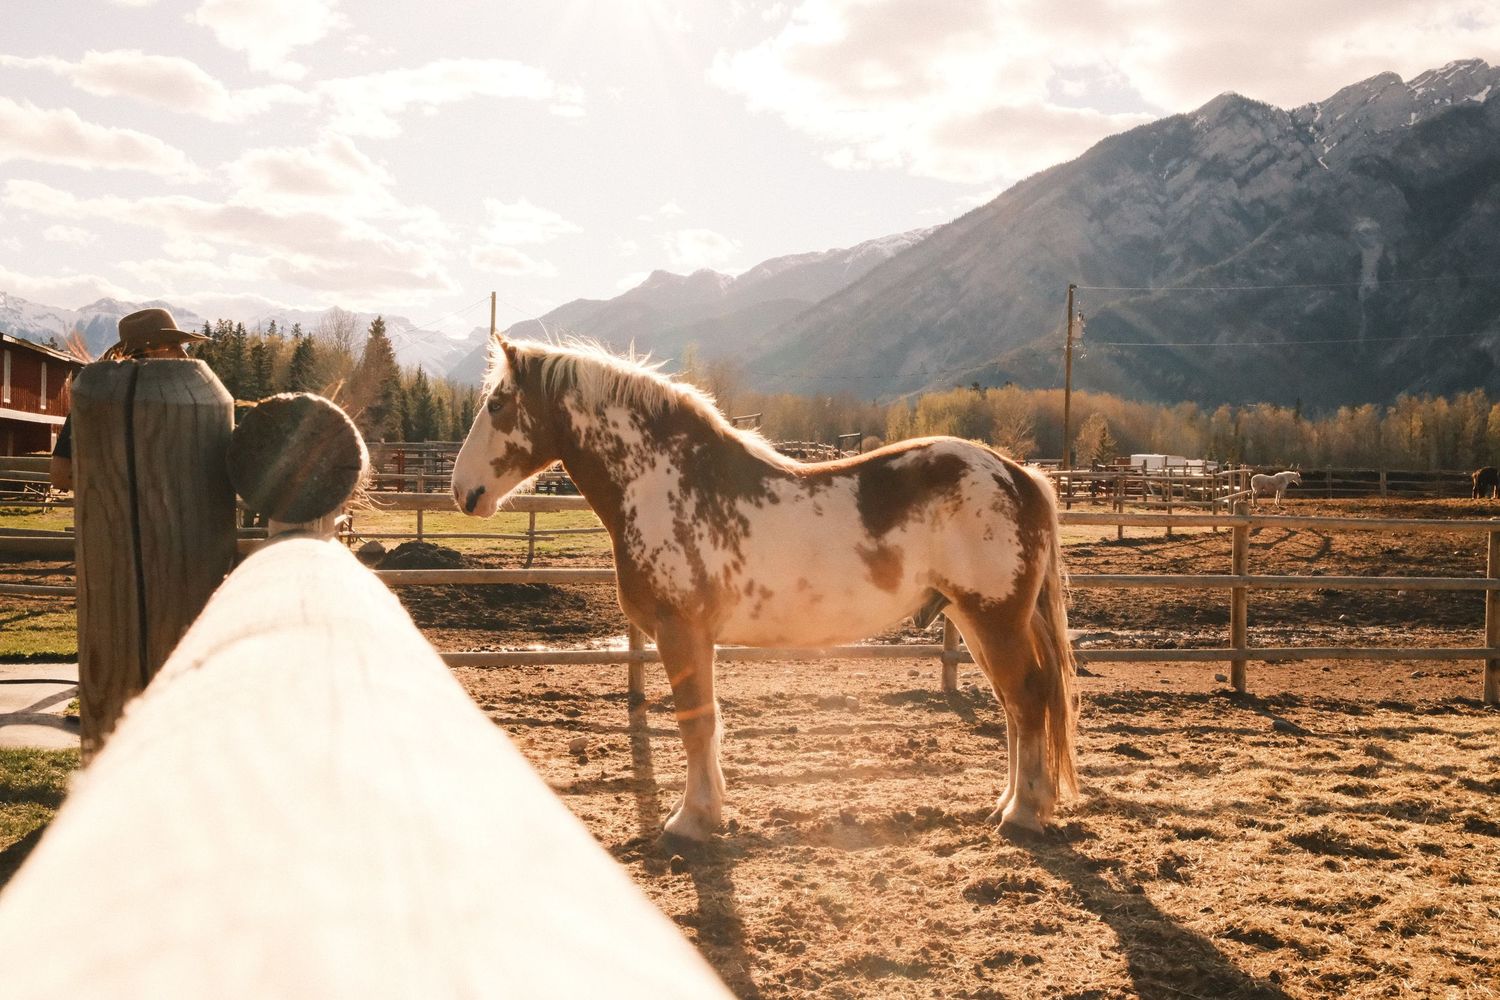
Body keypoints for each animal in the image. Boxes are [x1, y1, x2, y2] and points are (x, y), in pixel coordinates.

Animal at [452, 337, 1078, 840]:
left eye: (496, 404)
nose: (463, 491)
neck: (665, 482)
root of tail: (1018, 474)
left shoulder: (681, 632)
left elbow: (696, 720)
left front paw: (692, 821)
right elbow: (704, 722)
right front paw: (707, 812)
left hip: (993, 619)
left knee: (1027, 698)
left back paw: (1023, 813)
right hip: (975, 622)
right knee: (1017, 705)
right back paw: (1010, 803)